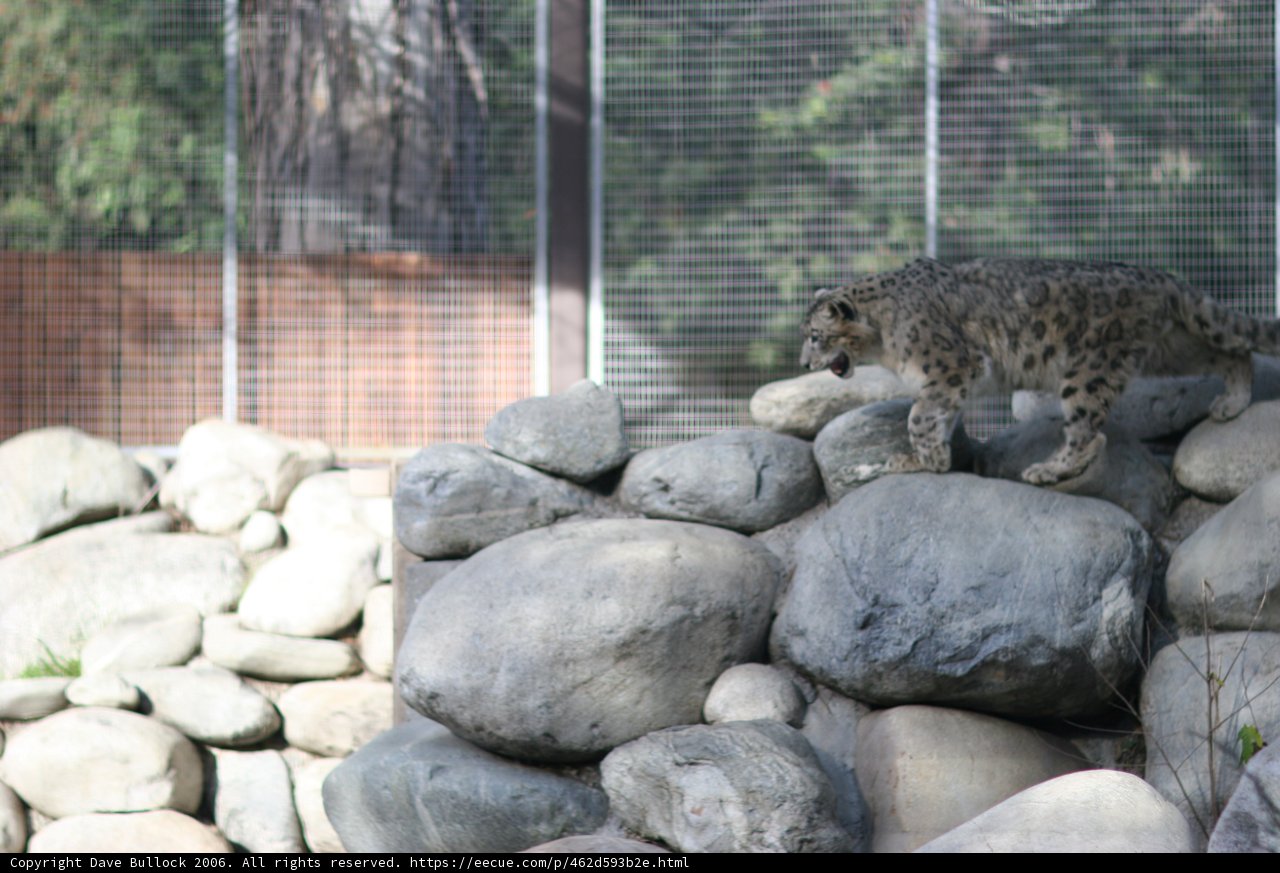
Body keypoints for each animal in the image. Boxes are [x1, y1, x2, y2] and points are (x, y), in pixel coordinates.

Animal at [800, 257, 1280, 485]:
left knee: (1089, 431)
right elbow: (939, 416)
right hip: (1170, 350)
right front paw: (934, 458)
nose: (804, 362)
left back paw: (1048, 469)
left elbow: (919, 416)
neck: (883, 340)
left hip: (1088, 370)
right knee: (1231, 351)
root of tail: (1159, 277)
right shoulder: (950, 383)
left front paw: (920, 461)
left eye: (815, 335)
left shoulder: (951, 366)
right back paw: (1231, 404)